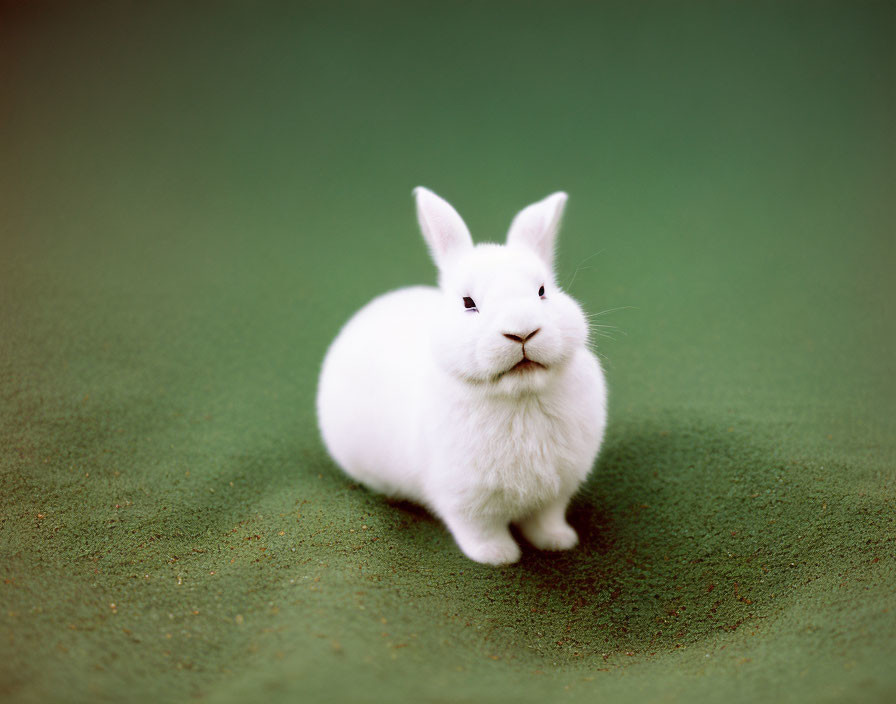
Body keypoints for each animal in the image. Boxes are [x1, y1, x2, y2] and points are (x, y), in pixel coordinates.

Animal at [316, 188, 608, 568]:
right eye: (468, 302)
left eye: (543, 291)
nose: (522, 332)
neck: (519, 396)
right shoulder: (466, 500)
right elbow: (480, 530)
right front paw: (499, 556)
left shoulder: (555, 491)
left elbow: (546, 519)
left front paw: (558, 542)